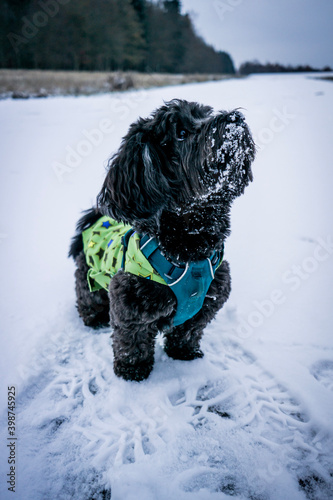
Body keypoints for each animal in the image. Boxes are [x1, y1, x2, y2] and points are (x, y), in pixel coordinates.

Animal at [68, 99, 255, 380]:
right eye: (181, 134)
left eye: (206, 113)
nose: (235, 118)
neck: (190, 248)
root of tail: (96, 219)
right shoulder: (130, 306)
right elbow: (131, 342)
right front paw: (132, 371)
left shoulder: (207, 303)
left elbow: (188, 331)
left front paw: (183, 353)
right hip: (89, 276)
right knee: (87, 298)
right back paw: (95, 319)